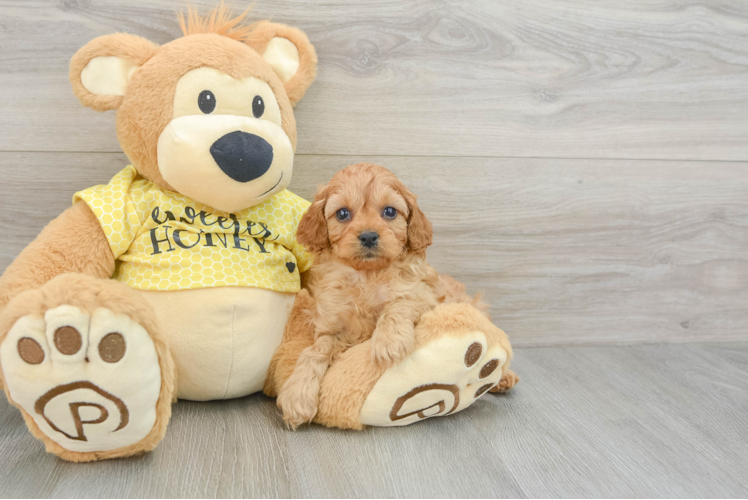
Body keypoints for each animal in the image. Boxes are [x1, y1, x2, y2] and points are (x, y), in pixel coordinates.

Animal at [274, 162, 496, 428]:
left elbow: (397, 304)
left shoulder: (425, 295)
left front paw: (389, 342)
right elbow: (314, 351)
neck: (367, 275)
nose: (369, 235)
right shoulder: (331, 325)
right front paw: (297, 395)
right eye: (342, 214)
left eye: (390, 211)